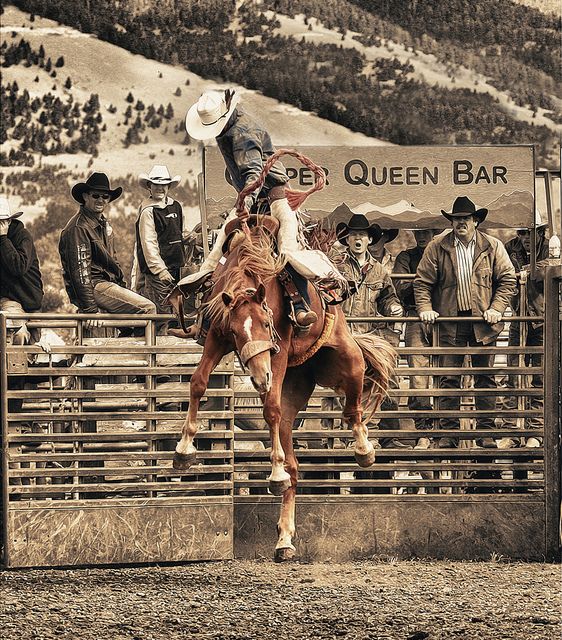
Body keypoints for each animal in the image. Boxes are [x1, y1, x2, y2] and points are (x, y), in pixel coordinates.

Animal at [172, 222, 394, 564]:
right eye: (236, 331)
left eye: (266, 323)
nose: (261, 377)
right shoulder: (217, 337)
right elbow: (198, 382)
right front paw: (184, 451)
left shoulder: (280, 347)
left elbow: (270, 409)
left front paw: (273, 473)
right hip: (294, 388)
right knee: (293, 461)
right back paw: (284, 539)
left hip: (348, 360)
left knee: (352, 410)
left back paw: (363, 450)